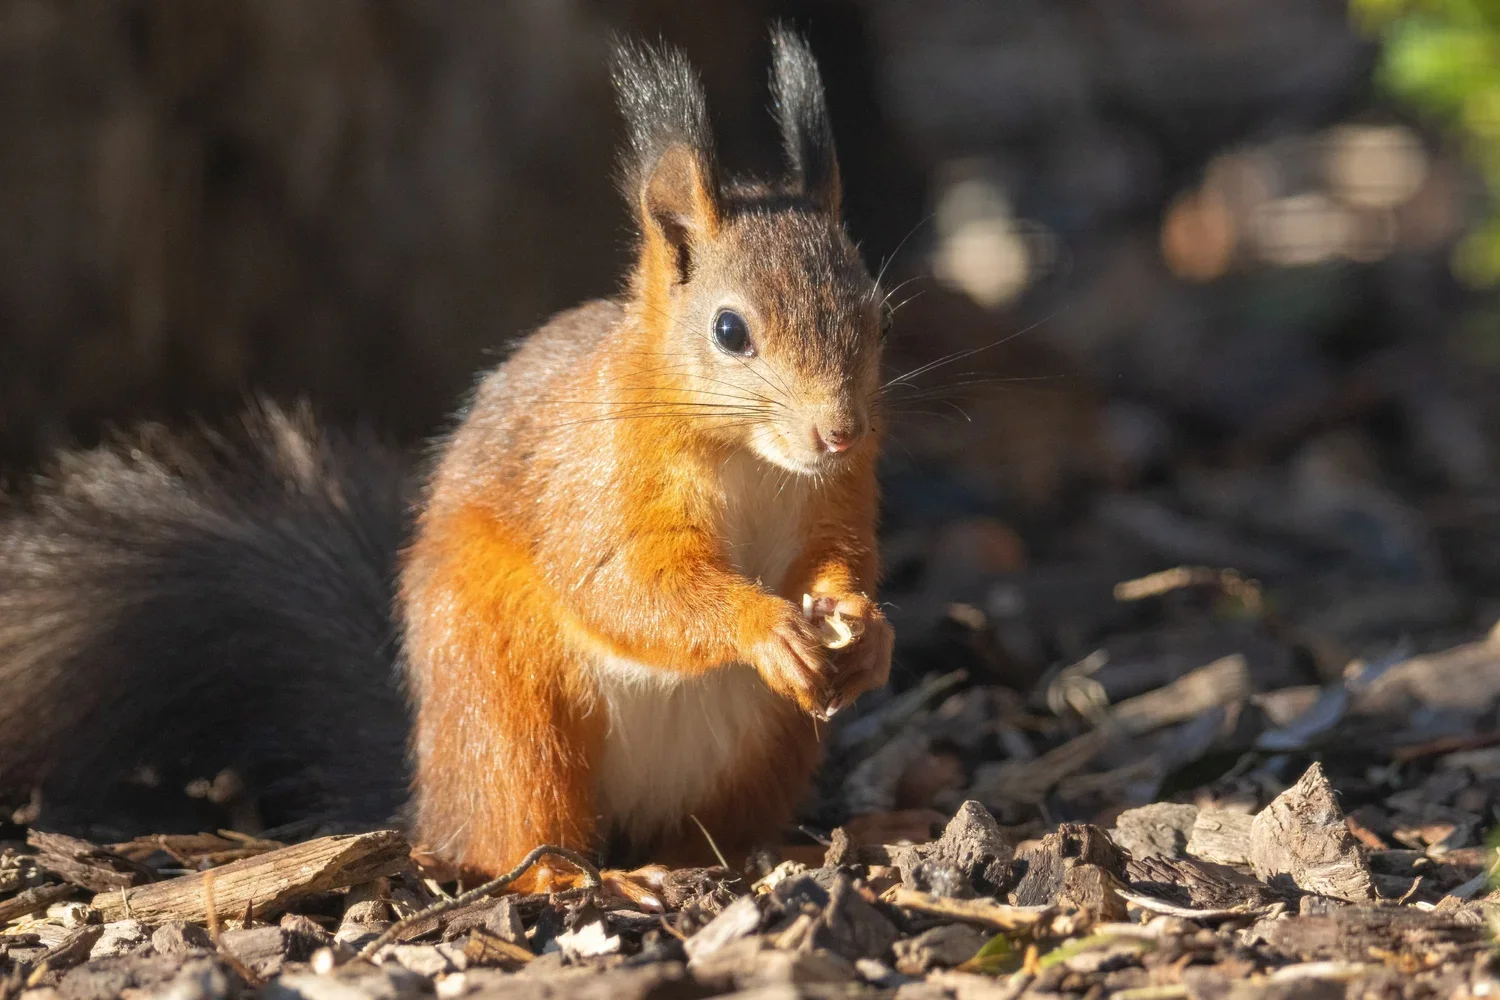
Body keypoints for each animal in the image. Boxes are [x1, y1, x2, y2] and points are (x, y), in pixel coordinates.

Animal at [0, 29, 892, 893]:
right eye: (730, 331)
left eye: (875, 315)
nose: (839, 432)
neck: (754, 461)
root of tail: (429, 795)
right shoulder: (598, 480)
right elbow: (627, 586)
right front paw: (765, 626)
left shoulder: (839, 496)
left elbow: (839, 559)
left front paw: (867, 628)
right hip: (504, 700)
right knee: (513, 837)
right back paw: (583, 879)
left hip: (766, 747)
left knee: (697, 830)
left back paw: (745, 854)